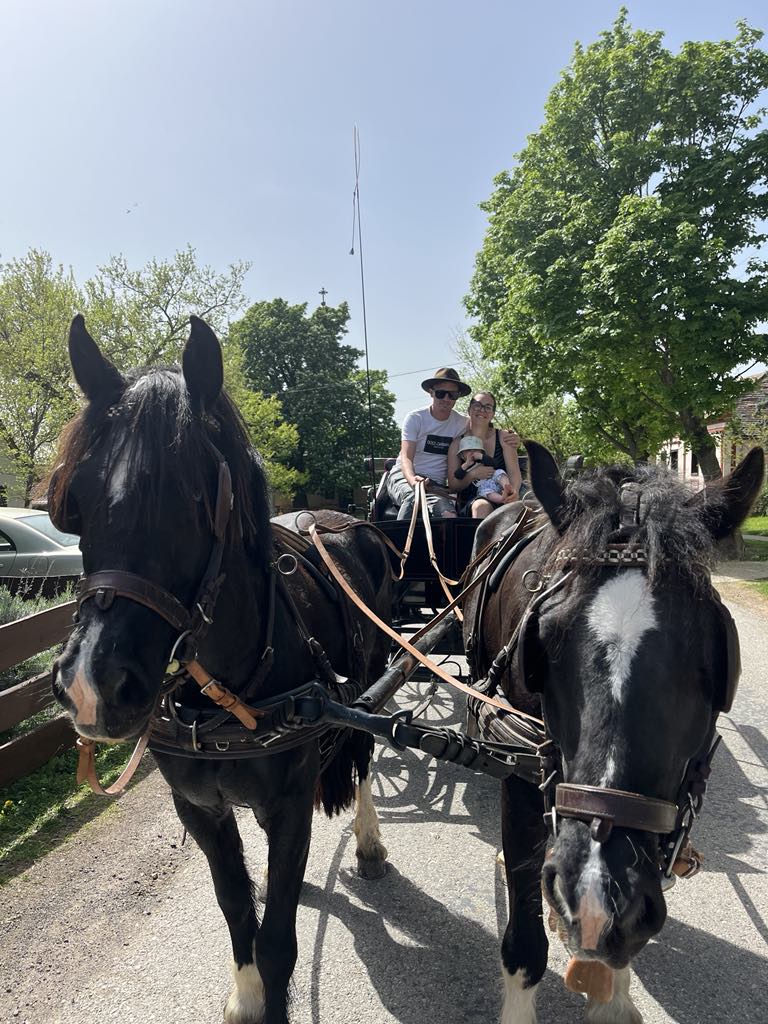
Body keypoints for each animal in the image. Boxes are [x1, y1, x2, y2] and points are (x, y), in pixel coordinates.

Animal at [49, 315, 393, 1024]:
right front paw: (246, 993)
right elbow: (237, 908)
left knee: (365, 760)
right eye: (79, 500)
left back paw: (370, 842)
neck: (221, 701)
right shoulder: (199, 808)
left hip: (367, 696)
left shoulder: (288, 804)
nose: (90, 686)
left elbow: (279, 941)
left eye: (191, 497)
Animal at [463, 440, 764, 1024]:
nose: (596, 896)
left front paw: (612, 990)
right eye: (545, 640)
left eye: (707, 655)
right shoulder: (521, 766)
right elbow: (525, 937)